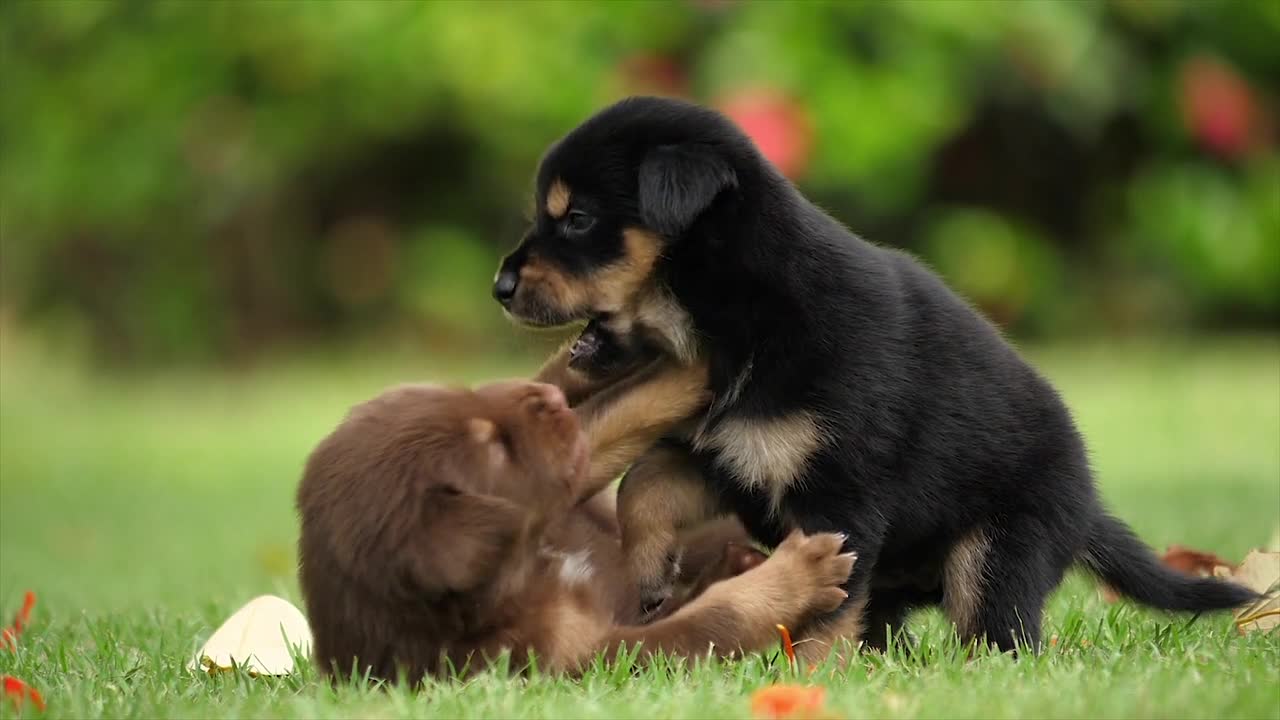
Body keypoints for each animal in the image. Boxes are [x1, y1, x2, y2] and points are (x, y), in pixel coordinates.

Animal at [294, 379, 855, 681]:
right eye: (494, 447)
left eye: (465, 394)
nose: (551, 394)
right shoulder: (588, 654)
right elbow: (709, 620)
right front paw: (801, 574)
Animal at [491, 95, 1259, 655]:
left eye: (577, 219)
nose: (498, 286)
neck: (744, 313)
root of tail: (1087, 501)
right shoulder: (731, 459)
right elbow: (644, 485)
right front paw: (651, 577)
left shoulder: (841, 493)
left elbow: (824, 609)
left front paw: (807, 671)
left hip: (1001, 548)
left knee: (999, 633)